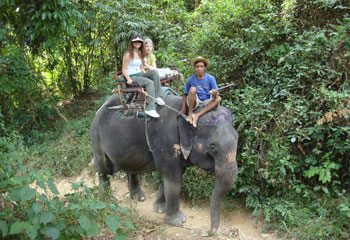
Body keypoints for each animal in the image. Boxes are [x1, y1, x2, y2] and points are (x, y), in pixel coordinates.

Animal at [89, 92, 239, 236]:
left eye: (237, 138)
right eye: (213, 147)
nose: (207, 232)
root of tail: (100, 108)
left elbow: (169, 176)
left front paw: (160, 209)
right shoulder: (166, 140)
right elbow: (172, 177)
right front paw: (178, 221)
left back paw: (139, 198)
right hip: (96, 137)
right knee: (104, 171)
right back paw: (106, 202)